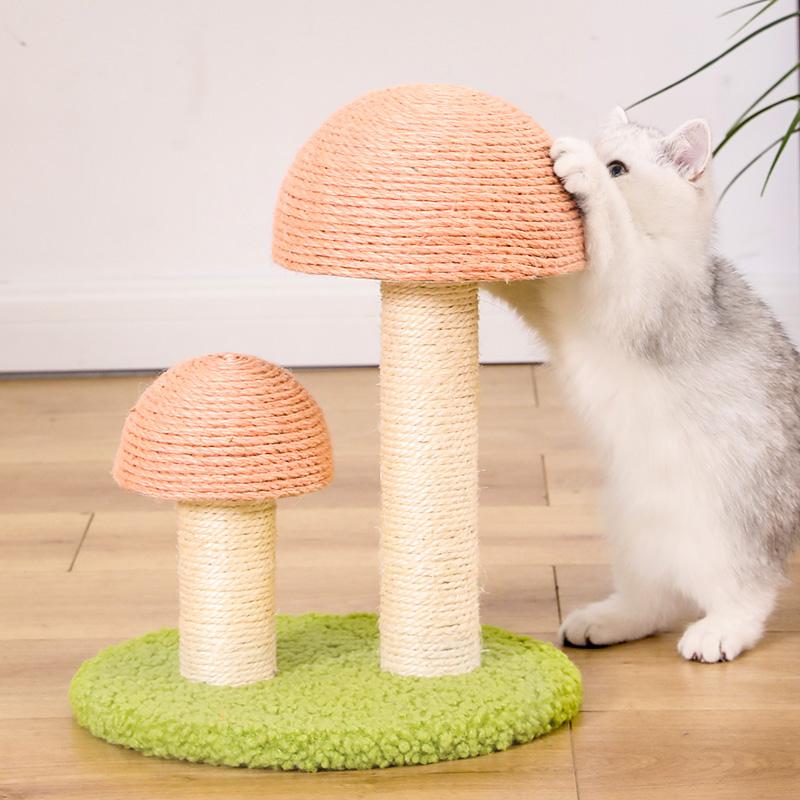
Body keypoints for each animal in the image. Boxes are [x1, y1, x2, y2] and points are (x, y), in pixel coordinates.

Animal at [488, 106, 800, 664]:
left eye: (617, 168)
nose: (586, 162)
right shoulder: (554, 303)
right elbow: (532, 283)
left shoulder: (634, 288)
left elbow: (615, 229)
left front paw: (582, 171)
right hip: (633, 532)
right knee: (654, 601)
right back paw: (605, 622)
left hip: (724, 535)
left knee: (748, 594)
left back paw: (718, 632)